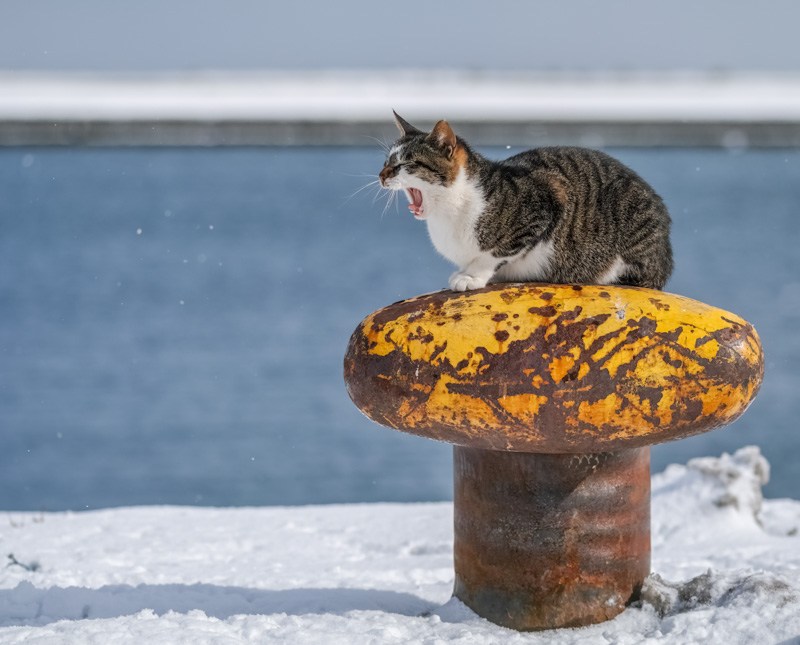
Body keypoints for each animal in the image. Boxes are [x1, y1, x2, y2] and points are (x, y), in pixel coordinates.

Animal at [378, 112, 672, 290]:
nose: (381, 175)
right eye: (386, 162)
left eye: (405, 164)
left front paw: (471, 276)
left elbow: (494, 253)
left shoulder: (547, 200)